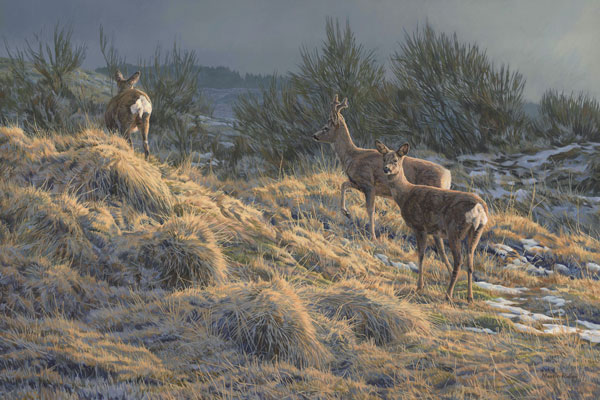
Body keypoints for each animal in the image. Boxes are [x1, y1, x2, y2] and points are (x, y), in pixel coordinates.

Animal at [312, 94, 452, 272]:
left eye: (325, 127)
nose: (314, 135)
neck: (352, 156)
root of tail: (448, 176)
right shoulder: (358, 183)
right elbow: (343, 185)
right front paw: (346, 212)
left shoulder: (369, 184)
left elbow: (370, 210)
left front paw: (372, 236)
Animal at [378, 140, 490, 300]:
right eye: (384, 158)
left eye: (395, 160)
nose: (386, 169)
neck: (405, 194)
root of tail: (479, 208)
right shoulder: (435, 231)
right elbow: (441, 253)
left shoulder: (419, 226)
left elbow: (421, 255)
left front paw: (419, 286)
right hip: (476, 231)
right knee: (470, 262)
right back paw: (469, 297)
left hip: (455, 229)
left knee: (459, 261)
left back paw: (448, 295)